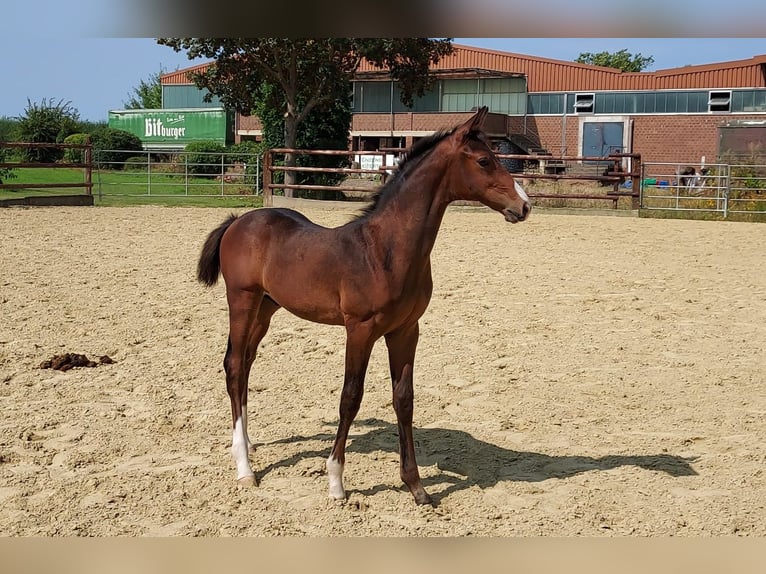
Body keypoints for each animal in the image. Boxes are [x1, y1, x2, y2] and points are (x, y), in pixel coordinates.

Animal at [198, 106, 536, 506]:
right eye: (485, 161)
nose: (524, 206)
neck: (385, 250)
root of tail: (239, 221)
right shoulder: (359, 330)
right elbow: (350, 397)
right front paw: (335, 482)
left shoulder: (405, 331)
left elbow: (404, 399)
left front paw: (416, 486)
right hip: (243, 300)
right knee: (235, 365)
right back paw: (245, 467)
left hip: (267, 308)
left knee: (246, 364)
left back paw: (247, 443)